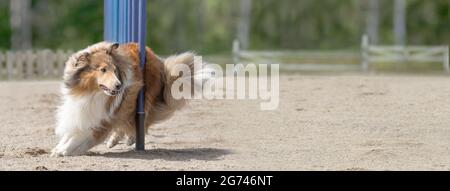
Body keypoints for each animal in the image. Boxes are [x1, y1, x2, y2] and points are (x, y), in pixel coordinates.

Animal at [51, 42, 204, 157]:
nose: (119, 85)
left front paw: (63, 151)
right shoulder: (82, 112)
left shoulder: (102, 119)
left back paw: (131, 138)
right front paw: (59, 147)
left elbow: (81, 137)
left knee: (143, 120)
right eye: (103, 70)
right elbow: (71, 134)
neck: (92, 92)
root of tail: (150, 52)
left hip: (141, 98)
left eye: (115, 70)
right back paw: (114, 140)